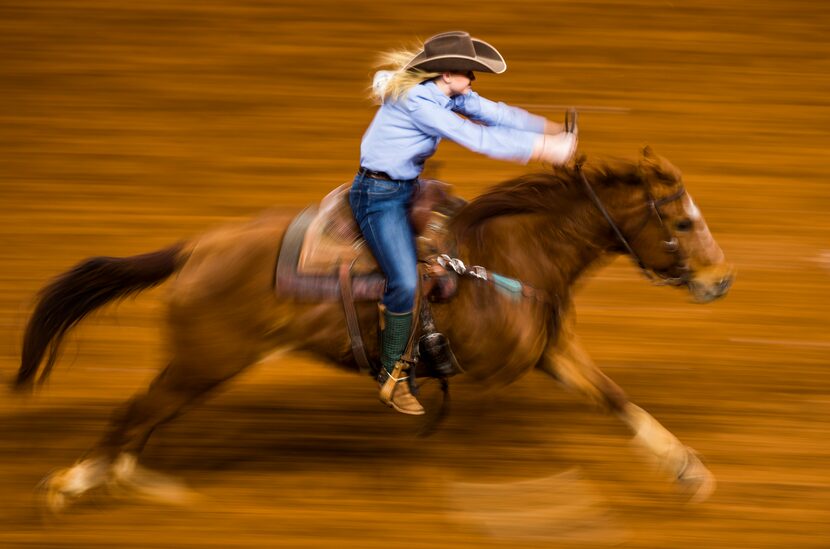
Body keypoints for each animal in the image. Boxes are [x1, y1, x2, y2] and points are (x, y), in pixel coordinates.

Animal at [14, 146, 736, 510]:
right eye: (680, 221)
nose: (720, 279)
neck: (510, 256)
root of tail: (195, 249)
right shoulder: (492, 372)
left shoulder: (549, 351)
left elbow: (615, 398)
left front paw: (687, 470)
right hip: (204, 360)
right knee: (134, 413)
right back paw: (77, 484)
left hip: (201, 365)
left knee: (142, 418)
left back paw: (128, 481)